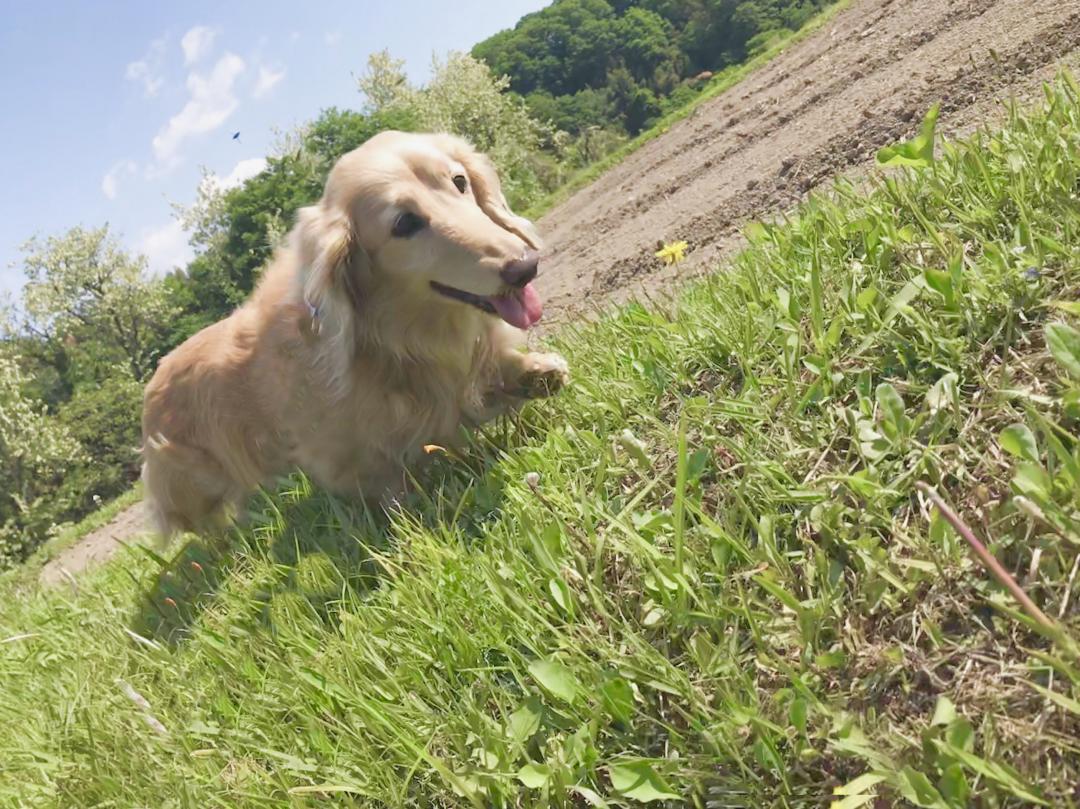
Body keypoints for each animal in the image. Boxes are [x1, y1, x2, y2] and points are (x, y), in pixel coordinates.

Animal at [139, 131, 570, 535]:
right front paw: (409, 509)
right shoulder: (340, 447)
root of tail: (154, 380)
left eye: (459, 180)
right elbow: (385, 476)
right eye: (403, 223)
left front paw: (538, 372)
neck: (398, 336)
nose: (525, 266)